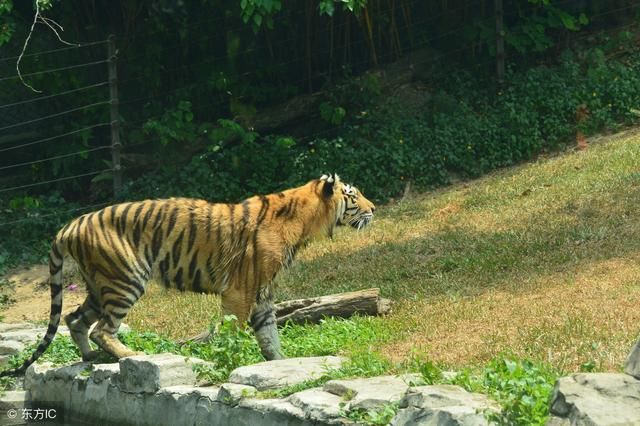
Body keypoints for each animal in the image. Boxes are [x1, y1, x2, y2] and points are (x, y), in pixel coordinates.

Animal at [0, 173, 372, 376]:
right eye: (353, 195)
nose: (373, 209)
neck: (305, 221)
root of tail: (70, 225)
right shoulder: (240, 290)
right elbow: (235, 330)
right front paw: (231, 360)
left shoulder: (263, 292)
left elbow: (269, 336)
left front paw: (278, 363)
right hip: (125, 279)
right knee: (101, 329)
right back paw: (131, 356)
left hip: (98, 284)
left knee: (75, 319)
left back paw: (91, 358)